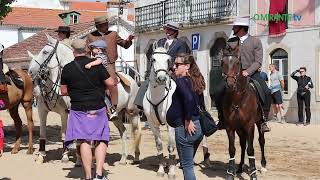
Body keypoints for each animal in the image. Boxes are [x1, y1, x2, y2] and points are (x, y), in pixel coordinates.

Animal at [28, 34, 141, 165]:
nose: (30, 71)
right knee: (123, 131)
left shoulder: (65, 113)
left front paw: (70, 158)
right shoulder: (42, 111)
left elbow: (66, 134)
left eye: (45, 52)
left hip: (132, 112)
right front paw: (41, 156)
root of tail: (133, 81)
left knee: (136, 131)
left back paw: (136, 157)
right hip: (117, 116)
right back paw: (123, 158)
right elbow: (43, 134)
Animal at [142, 43, 212, 179]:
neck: (157, 96)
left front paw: (171, 172)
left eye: (168, 60)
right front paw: (161, 169)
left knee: (203, 136)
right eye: (153, 59)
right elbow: (159, 146)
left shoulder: (171, 125)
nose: (162, 78)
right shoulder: (153, 125)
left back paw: (206, 160)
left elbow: (171, 147)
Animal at [221, 44, 266, 180]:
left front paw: (253, 174)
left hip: (259, 123)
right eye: (222, 62)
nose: (230, 84)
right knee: (242, 144)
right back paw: (240, 166)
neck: (237, 99)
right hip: (239, 129)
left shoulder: (249, 125)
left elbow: (250, 149)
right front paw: (230, 174)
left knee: (261, 141)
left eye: (237, 62)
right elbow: (232, 149)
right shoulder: (230, 127)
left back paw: (263, 165)